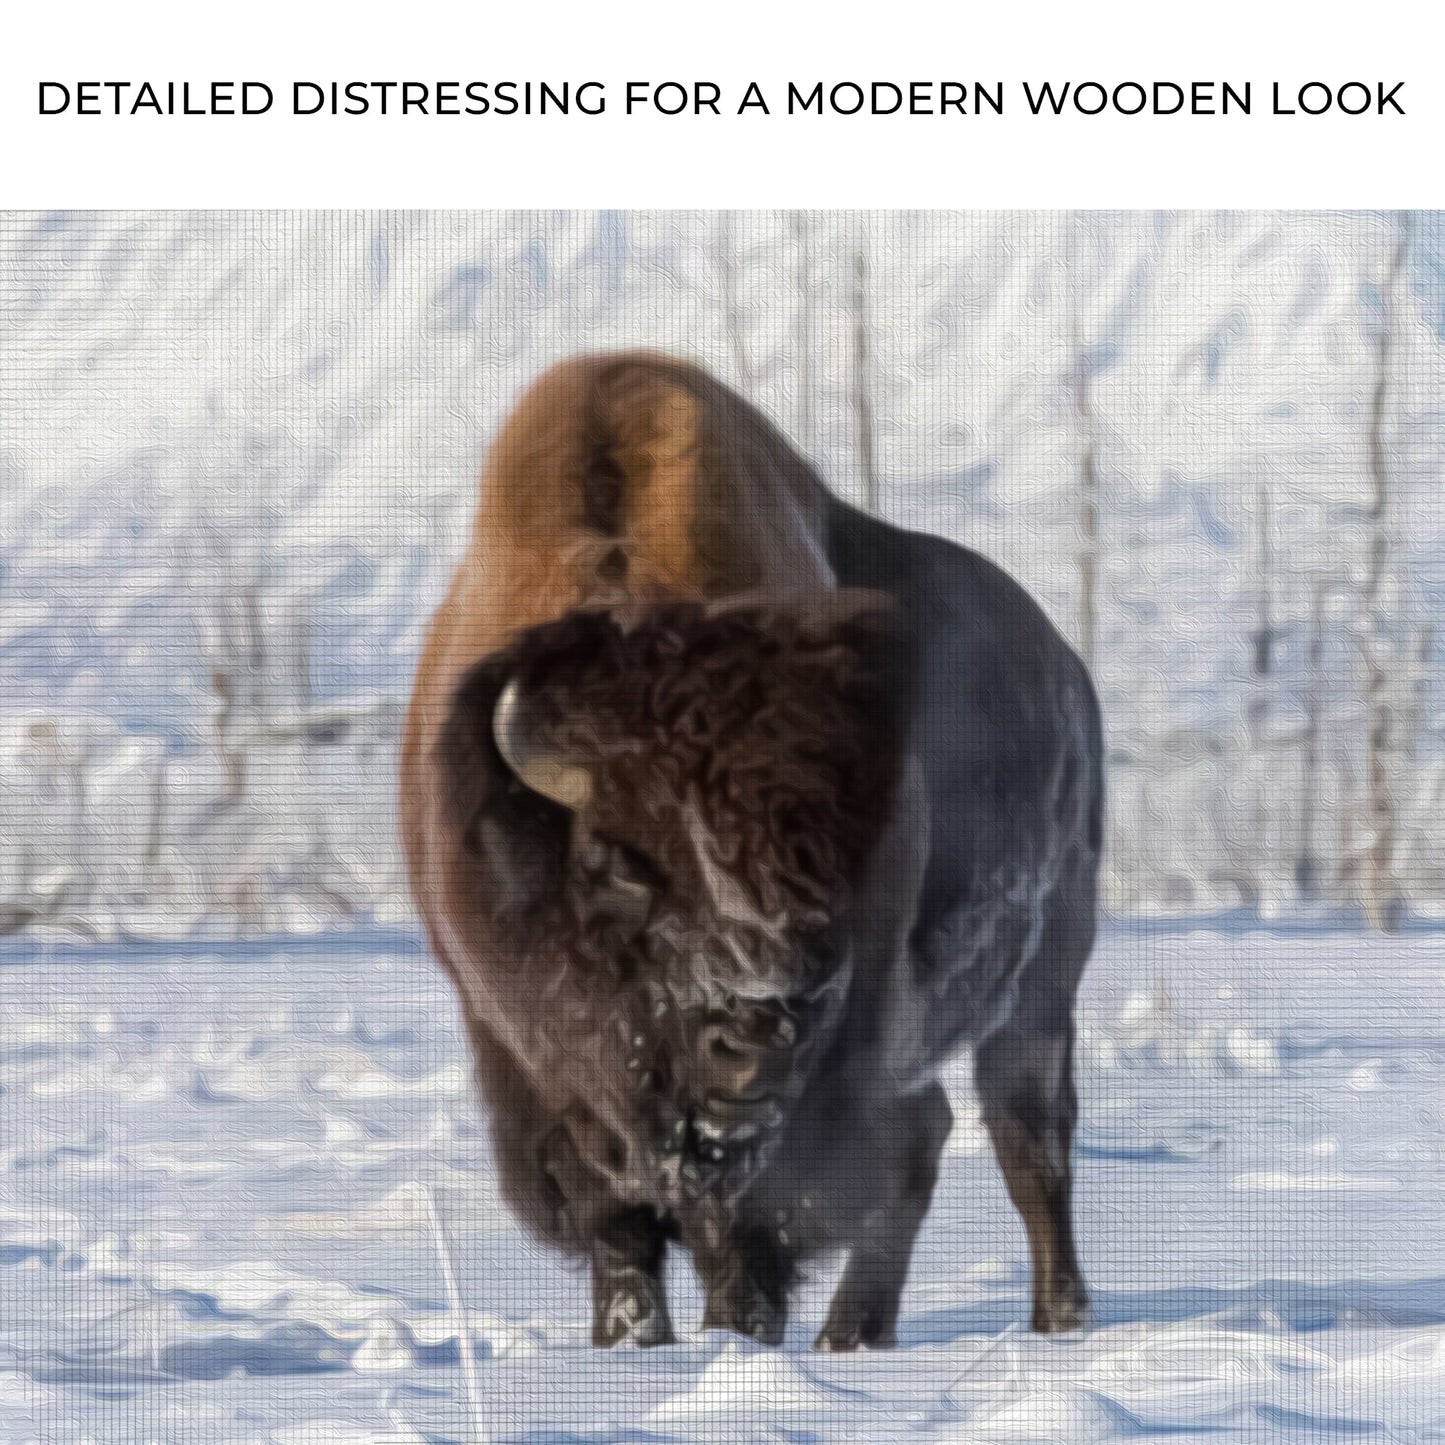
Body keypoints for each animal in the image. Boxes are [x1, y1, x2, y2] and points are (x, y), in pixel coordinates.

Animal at [399, 352, 1104, 1350]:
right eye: (620, 861)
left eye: (829, 857)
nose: (760, 1031)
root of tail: (1067, 674)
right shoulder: (533, 1072)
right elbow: (619, 1222)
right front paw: (631, 1340)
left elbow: (746, 1223)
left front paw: (734, 1335)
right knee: (932, 1133)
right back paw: (856, 1332)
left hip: (1036, 992)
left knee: (1022, 1139)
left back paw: (1048, 1319)